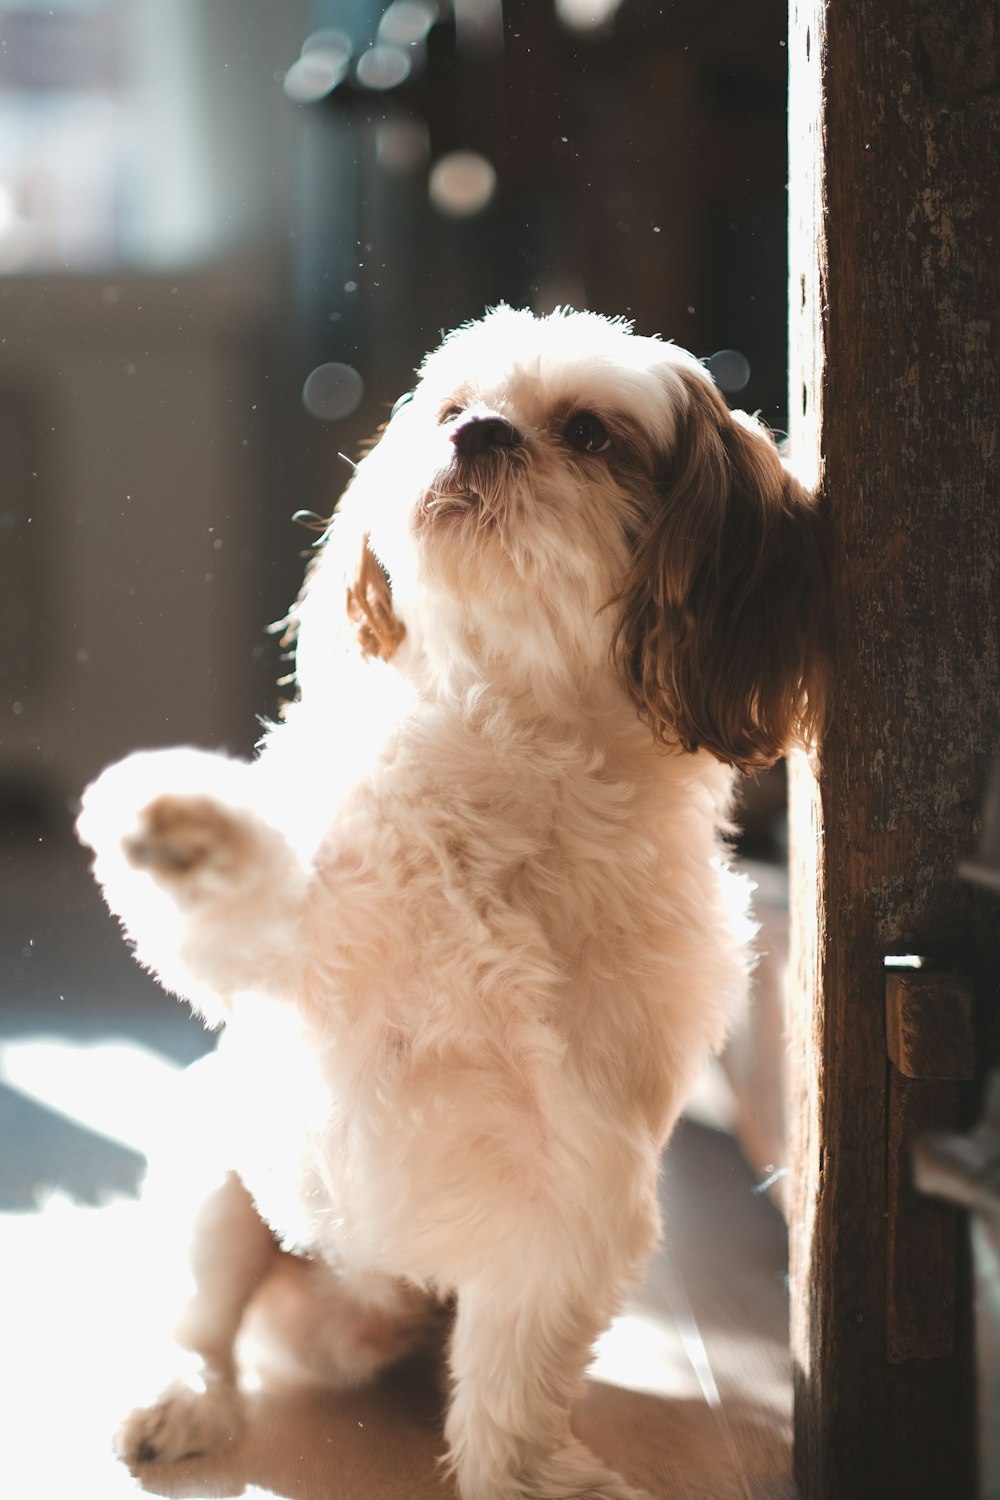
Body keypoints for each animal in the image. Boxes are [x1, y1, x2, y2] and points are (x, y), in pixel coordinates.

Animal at [78, 307, 827, 1500]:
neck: (509, 747)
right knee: (199, 1326)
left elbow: (515, 1377)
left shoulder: (572, 1193)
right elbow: (250, 896)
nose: (479, 436)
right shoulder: (299, 949)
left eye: (589, 432)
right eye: (451, 408)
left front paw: (525, 1477)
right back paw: (181, 1398)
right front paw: (186, 823)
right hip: (220, 1180)